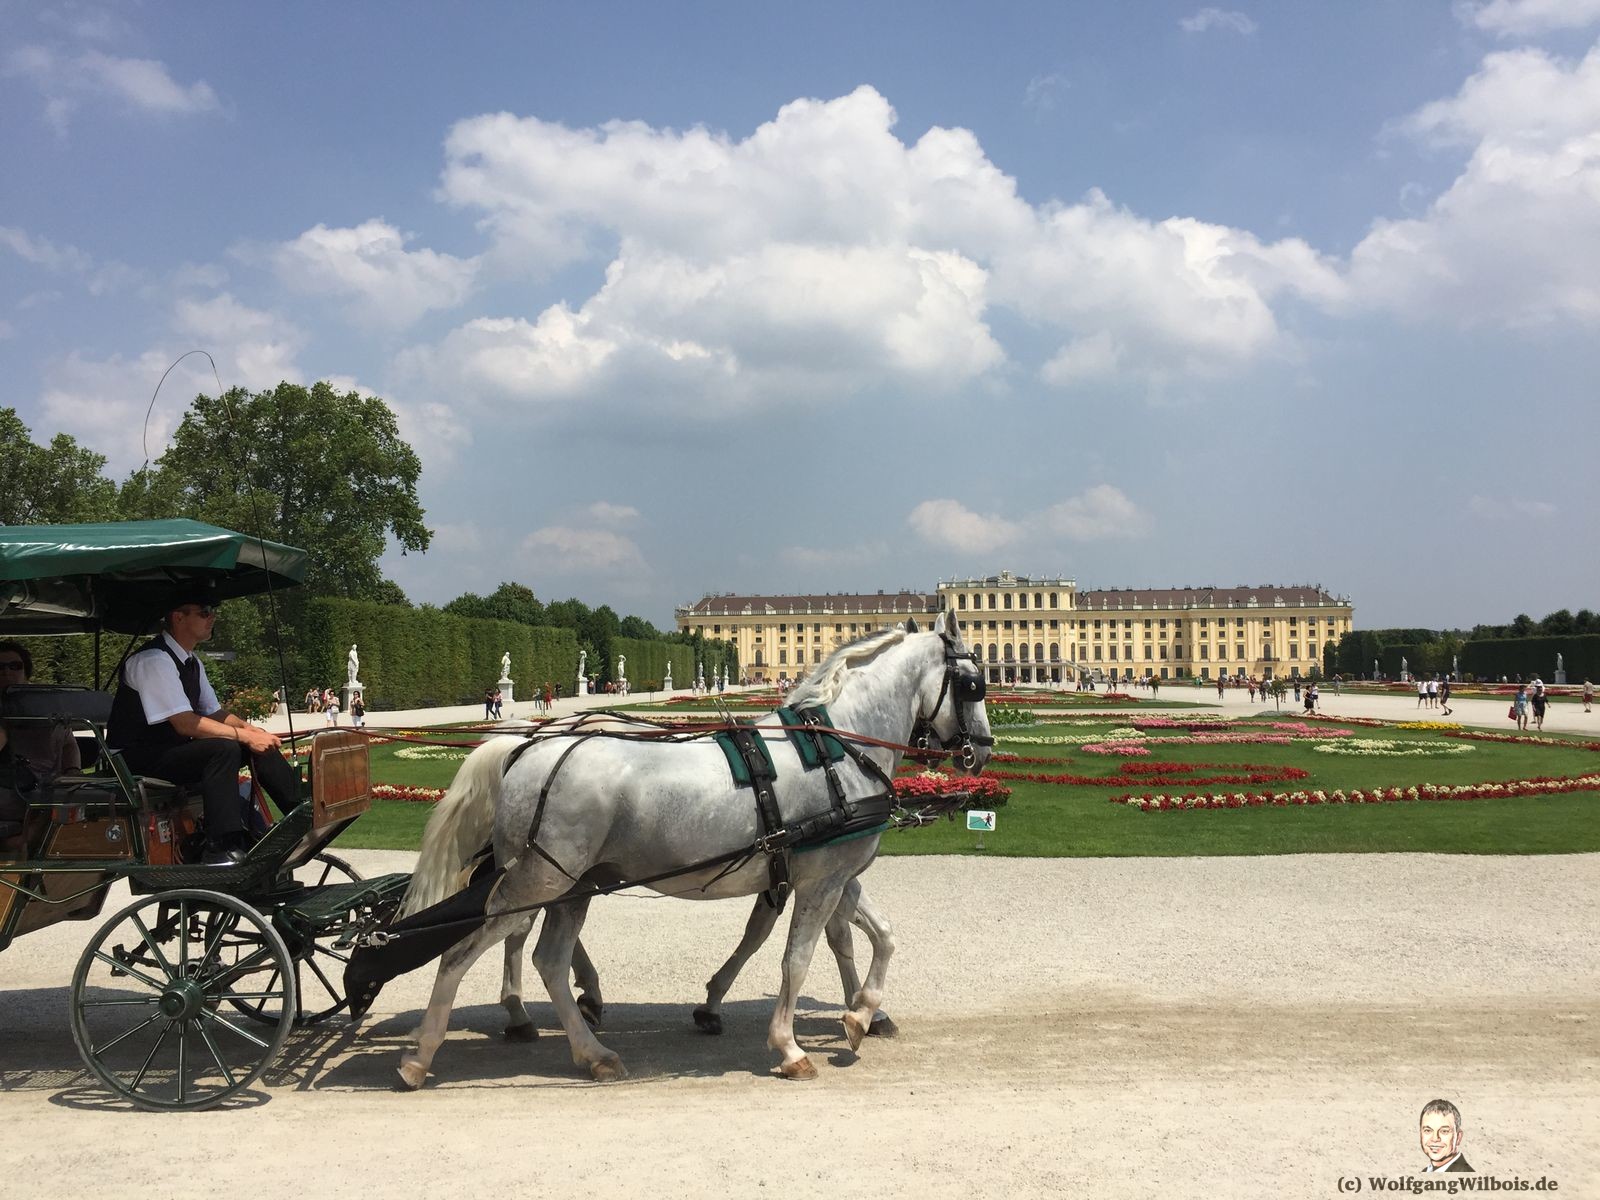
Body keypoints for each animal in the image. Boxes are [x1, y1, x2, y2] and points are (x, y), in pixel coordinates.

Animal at [393, 611, 985, 1088]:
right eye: (973, 684)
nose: (981, 749)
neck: (838, 748)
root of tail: (525, 747)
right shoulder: (821, 878)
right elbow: (798, 958)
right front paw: (792, 1046)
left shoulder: (834, 872)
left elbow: (879, 936)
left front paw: (861, 1016)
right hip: (537, 880)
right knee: (467, 950)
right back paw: (423, 1056)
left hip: (570, 885)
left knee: (549, 958)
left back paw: (593, 1052)